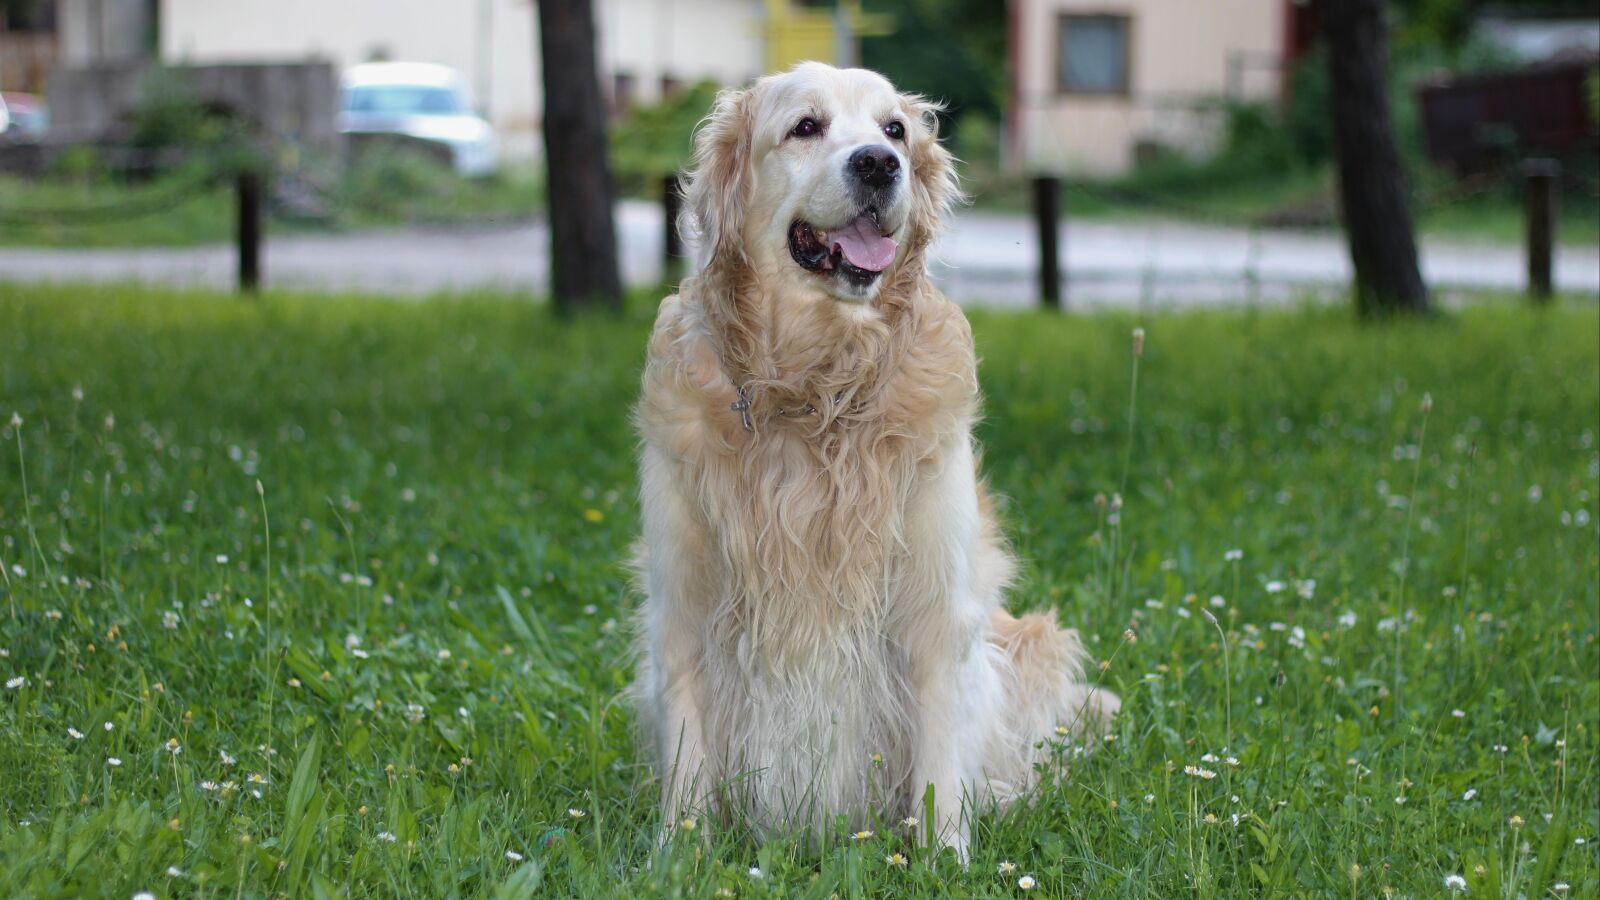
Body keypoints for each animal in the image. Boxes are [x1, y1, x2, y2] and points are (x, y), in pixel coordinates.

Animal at [630, 63, 1120, 851]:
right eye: (805, 126)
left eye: (895, 129)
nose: (879, 164)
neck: (816, 391)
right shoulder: (682, 603)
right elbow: (687, 760)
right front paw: (679, 855)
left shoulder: (934, 610)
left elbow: (940, 769)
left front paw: (946, 858)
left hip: (1028, 647)